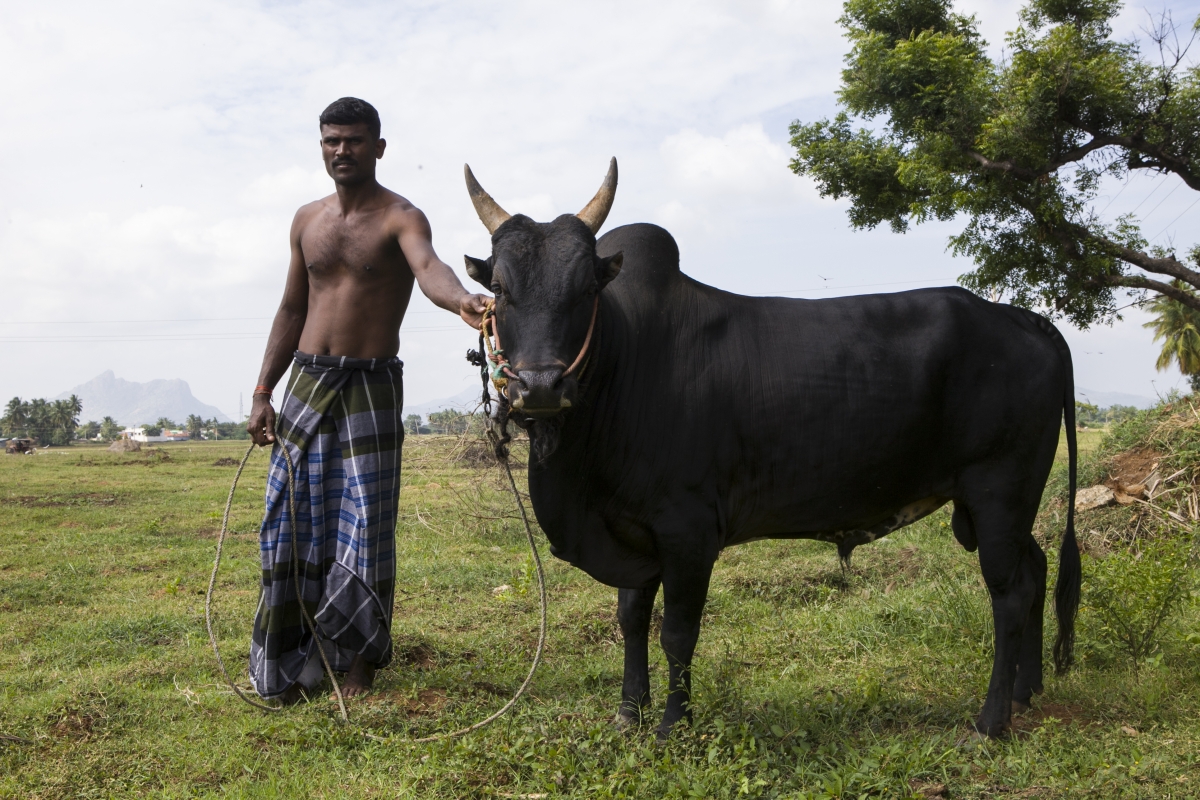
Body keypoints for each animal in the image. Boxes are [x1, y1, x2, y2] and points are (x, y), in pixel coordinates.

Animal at [463, 196, 1084, 743]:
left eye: (587, 289)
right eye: (499, 288)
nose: (540, 387)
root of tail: (1020, 318)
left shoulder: (688, 532)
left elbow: (676, 633)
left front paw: (671, 725)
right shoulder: (632, 533)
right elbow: (631, 620)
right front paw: (628, 714)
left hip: (999, 488)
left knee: (1008, 592)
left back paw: (991, 721)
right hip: (1000, 503)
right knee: (1035, 568)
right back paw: (1027, 691)